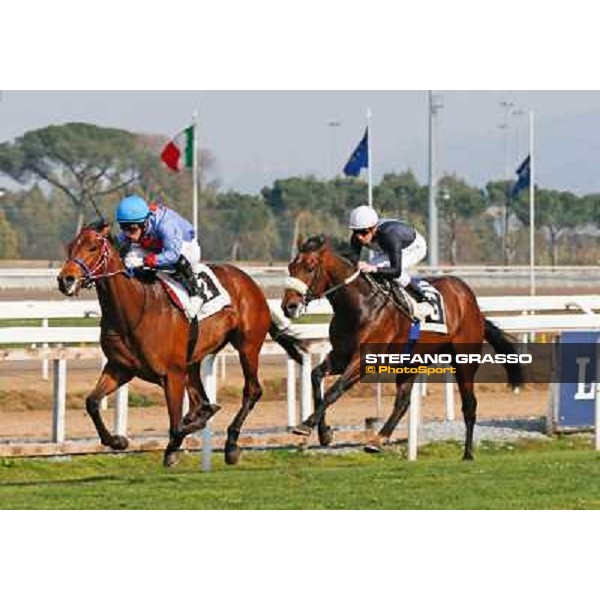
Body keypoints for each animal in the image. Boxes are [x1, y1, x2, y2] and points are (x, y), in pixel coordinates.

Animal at [58, 221, 308, 468]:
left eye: (92, 247)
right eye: (70, 247)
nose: (65, 280)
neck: (134, 310)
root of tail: (249, 282)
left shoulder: (172, 374)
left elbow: (177, 426)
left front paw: (174, 448)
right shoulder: (120, 367)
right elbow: (92, 402)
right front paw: (118, 441)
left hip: (247, 346)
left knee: (252, 390)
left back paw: (231, 444)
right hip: (194, 358)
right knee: (201, 399)